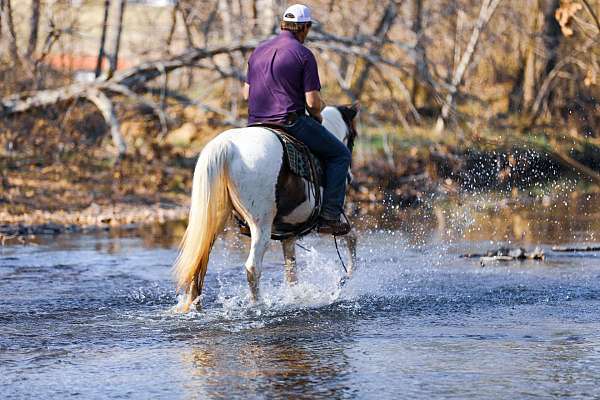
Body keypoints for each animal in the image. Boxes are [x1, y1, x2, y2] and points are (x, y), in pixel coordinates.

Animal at [173, 104, 360, 312]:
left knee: (199, 261)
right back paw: (258, 305)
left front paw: (295, 297)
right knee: (252, 267)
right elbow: (352, 239)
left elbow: (291, 271)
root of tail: (227, 146)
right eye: (353, 136)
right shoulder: (336, 222)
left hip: (212, 220)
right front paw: (343, 279)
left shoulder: (289, 234)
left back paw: (195, 306)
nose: (350, 177)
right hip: (260, 225)